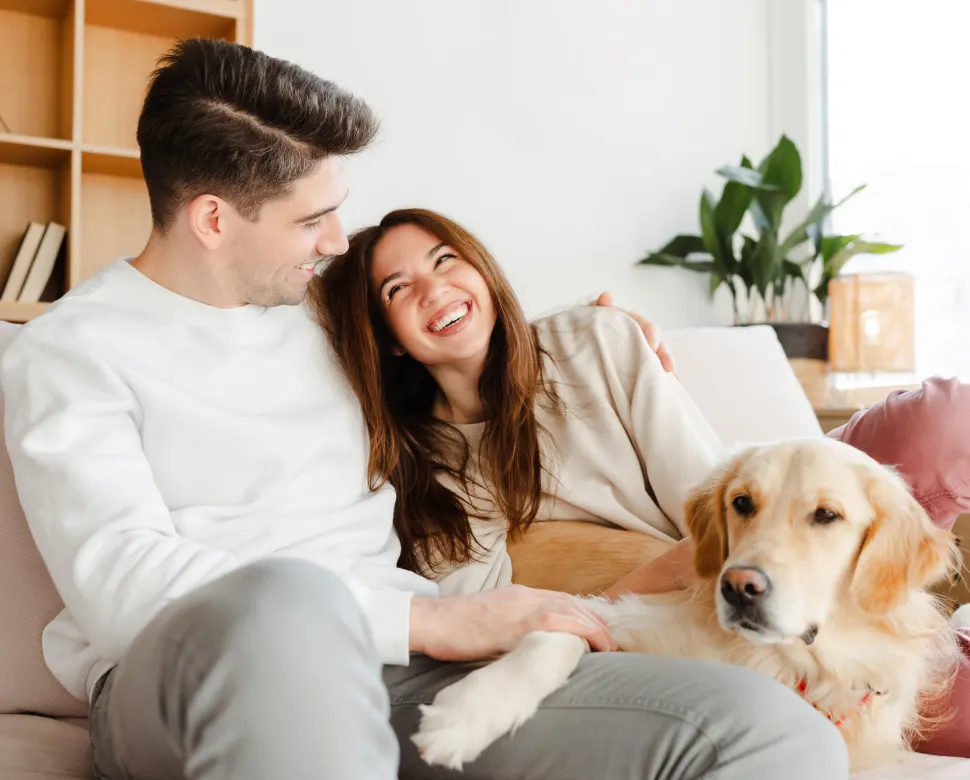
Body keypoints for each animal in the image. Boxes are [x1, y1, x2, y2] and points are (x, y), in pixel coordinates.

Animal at [410, 438, 960, 772]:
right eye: (742, 503)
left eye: (827, 515)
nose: (738, 586)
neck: (782, 660)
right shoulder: (616, 614)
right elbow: (553, 634)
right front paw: (469, 712)